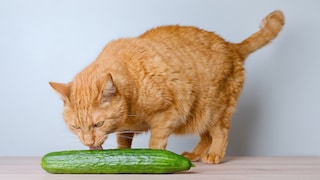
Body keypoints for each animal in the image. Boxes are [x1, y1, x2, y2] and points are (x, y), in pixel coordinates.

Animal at [50, 10, 284, 164]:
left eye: (98, 124)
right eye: (76, 127)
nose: (88, 141)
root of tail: (232, 46)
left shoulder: (169, 113)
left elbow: (156, 142)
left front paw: (154, 158)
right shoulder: (125, 128)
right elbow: (123, 142)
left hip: (214, 109)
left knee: (220, 133)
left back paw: (214, 155)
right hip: (200, 115)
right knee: (206, 135)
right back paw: (194, 155)